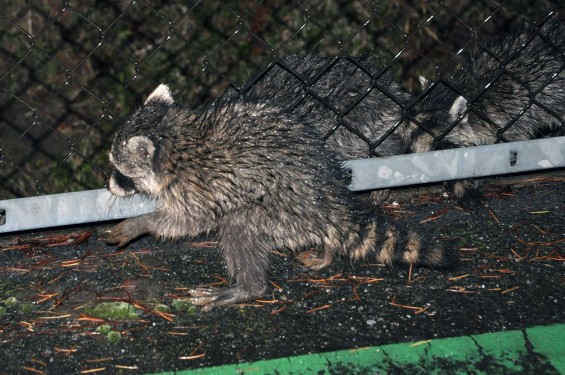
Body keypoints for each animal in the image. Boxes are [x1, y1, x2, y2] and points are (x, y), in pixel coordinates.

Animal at [106, 84, 456, 312]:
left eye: (119, 171)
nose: (109, 188)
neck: (176, 138)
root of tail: (327, 201)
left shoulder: (200, 184)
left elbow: (188, 221)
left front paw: (142, 222)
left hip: (279, 207)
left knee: (239, 225)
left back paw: (248, 288)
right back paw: (327, 249)